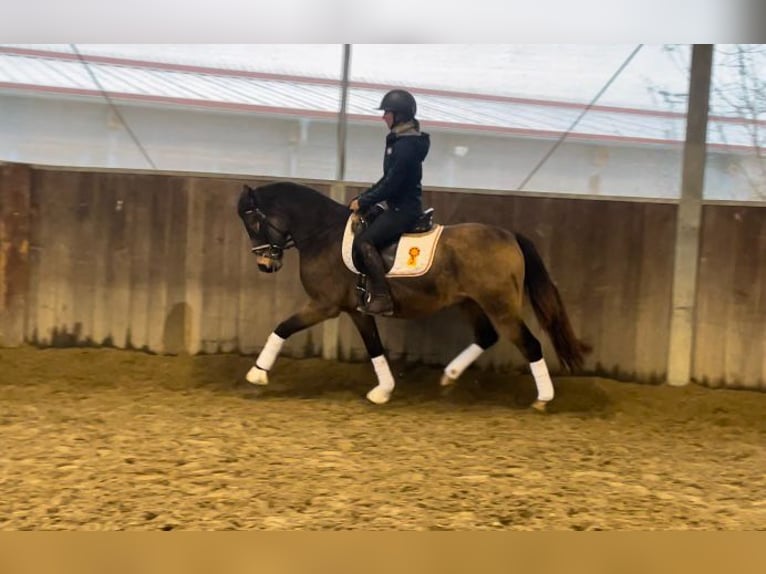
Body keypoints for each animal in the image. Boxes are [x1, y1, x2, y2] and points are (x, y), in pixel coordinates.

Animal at [237, 182, 592, 412]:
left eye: (252, 219)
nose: (265, 265)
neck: (322, 234)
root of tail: (508, 236)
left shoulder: (324, 305)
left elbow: (282, 327)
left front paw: (257, 373)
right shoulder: (356, 310)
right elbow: (374, 347)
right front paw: (383, 391)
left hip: (499, 306)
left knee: (530, 344)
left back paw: (542, 399)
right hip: (470, 302)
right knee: (486, 337)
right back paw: (450, 375)